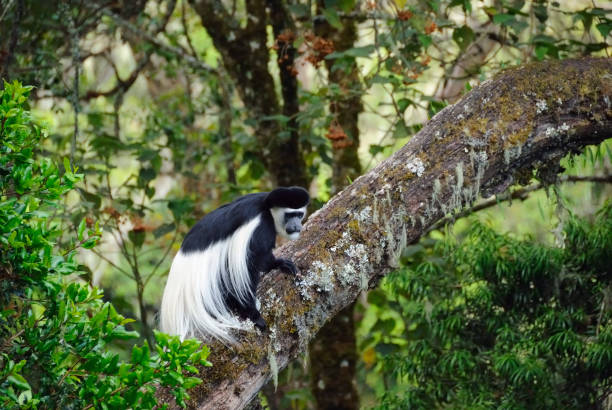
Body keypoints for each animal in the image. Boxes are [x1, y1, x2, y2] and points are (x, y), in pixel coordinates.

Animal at [160, 186, 308, 342]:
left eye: (299, 215)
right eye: (289, 215)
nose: (296, 226)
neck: (266, 208)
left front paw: (281, 264)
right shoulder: (259, 227)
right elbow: (256, 258)